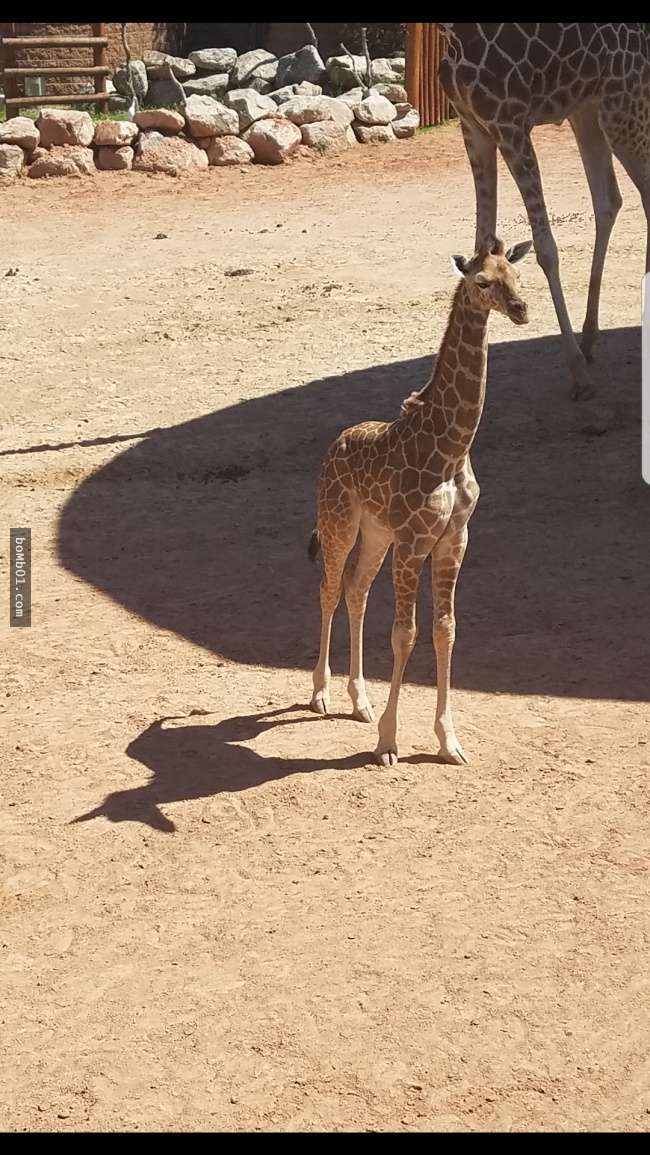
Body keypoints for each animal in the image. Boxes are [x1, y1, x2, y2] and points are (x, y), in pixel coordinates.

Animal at [308, 236, 532, 766]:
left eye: (517, 275)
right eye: (482, 281)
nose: (520, 309)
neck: (451, 447)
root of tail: (334, 444)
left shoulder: (454, 538)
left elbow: (445, 628)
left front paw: (448, 741)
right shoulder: (414, 541)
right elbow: (404, 633)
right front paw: (388, 742)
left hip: (375, 534)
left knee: (356, 590)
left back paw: (360, 701)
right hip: (338, 522)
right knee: (330, 588)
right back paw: (321, 693)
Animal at [435, 22, 650, 399]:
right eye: (485, 284)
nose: (519, 312)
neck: (453, 32)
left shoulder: (510, 123)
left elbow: (546, 249)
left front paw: (579, 374)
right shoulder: (473, 125)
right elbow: (481, 242)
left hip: (624, 108)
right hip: (589, 111)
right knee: (609, 199)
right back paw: (589, 338)